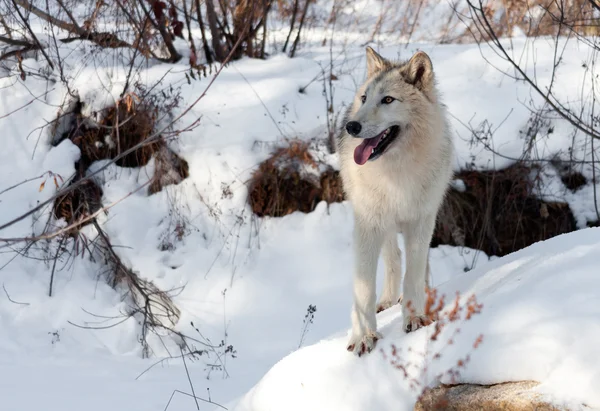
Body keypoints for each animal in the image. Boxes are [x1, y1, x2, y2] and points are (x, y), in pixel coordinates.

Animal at [338, 46, 454, 356]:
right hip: (383, 224)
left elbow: (414, 273)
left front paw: (415, 316)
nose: (351, 126)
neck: (396, 173)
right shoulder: (368, 224)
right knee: (393, 257)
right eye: (365, 98)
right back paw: (388, 300)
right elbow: (364, 287)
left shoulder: (421, 220)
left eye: (388, 99)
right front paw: (363, 336)